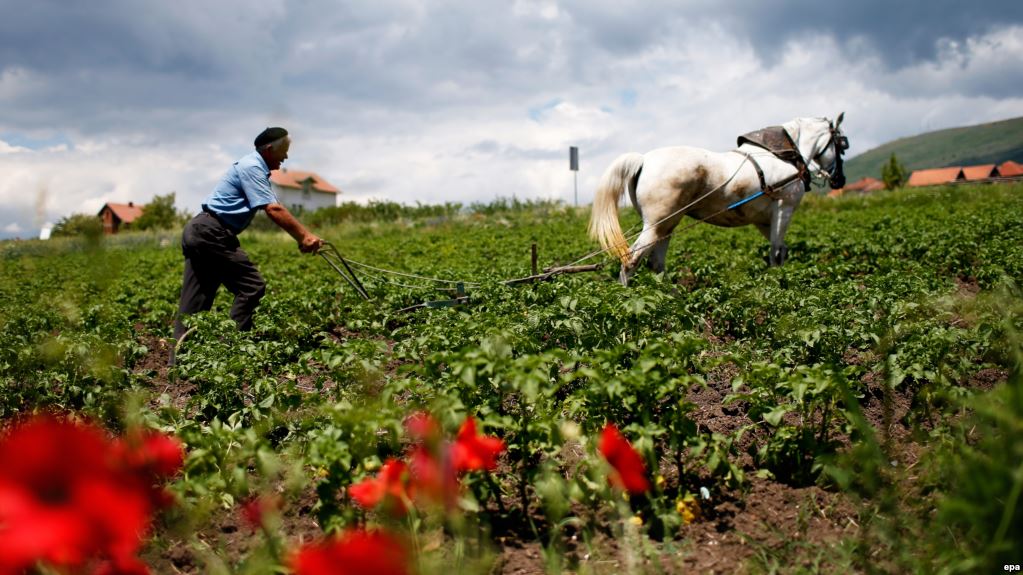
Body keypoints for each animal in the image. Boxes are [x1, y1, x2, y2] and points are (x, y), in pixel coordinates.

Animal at [589, 114, 851, 284]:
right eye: (842, 144)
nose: (840, 180)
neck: (782, 156)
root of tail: (643, 159)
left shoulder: (763, 220)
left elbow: (780, 251)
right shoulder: (784, 208)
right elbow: (777, 253)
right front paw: (779, 286)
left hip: (667, 224)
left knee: (655, 264)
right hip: (656, 225)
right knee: (631, 261)